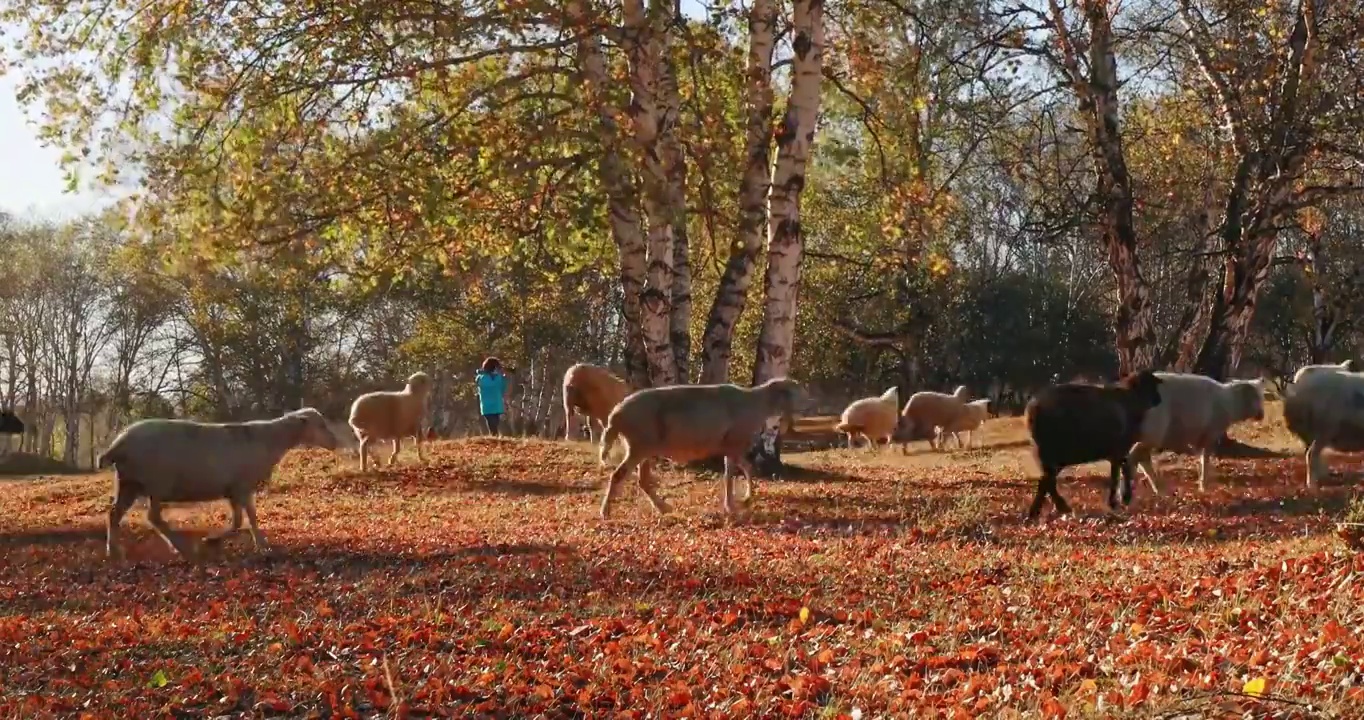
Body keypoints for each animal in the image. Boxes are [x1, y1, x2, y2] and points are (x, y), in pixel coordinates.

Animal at [97, 409, 339, 559]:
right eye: (320, 424)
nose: (335, 442)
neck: (271, 440)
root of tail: (118, 444)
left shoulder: (232, 489)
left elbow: (238, 521)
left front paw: (212, 539)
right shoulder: (242, 485)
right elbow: (250, 518)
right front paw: (262, 545)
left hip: (129, 482)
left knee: (114, 514)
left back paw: (113, 551)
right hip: (156, 482)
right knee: (153, 517)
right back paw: (183, 549)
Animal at [594, 376, 802, 518]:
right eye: (796, 391)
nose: (807, 402)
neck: (756, 404)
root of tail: (615, 415)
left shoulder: (730, 447)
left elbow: (743, 469)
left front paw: (743, 499)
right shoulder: (734, 443)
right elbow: (734, 473)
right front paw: (735, 505)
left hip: (642, 449)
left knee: (642, 481)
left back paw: (664, 508)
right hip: (640, 446)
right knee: (618, 476)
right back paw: (605, 512)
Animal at [1025, 370, 1167, 523]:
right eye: (1150, 384)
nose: (1158, 399)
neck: (1131, 401)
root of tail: (1031, 410)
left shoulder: (1118, 452)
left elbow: (1121, 470)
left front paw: (1121, 499)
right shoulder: (1119, 449)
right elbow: (1118, 474)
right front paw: (1118, 500)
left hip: (1053, 455)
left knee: (1045, 480)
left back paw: (1036, 512)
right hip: (1053, 451)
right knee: (1047, 480)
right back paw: (1061, 508)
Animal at [1129, 370, 1265, 496]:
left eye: (1261, 396)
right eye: (1255, 396)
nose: (1262, 415)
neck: (1230, 403)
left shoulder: (1199, 438)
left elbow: (1200, 458)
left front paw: (1200, 483)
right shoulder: (1210, 434)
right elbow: (1205, 460)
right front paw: (1203, 487)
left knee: (1142, 459)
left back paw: (1159, 490)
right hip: (1153, 432)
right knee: (1134, 457)